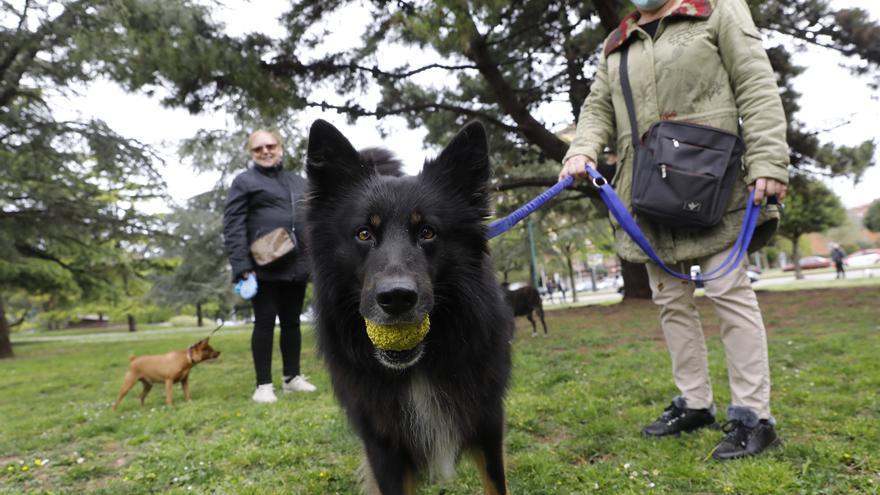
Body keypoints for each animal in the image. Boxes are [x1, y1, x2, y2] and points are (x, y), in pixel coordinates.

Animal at [308, 120, 516, 495]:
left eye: (428, 231)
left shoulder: (488, 421)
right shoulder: (382, 444)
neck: (416, 369)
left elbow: (496, 483)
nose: (397, 299)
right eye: (364, 233)